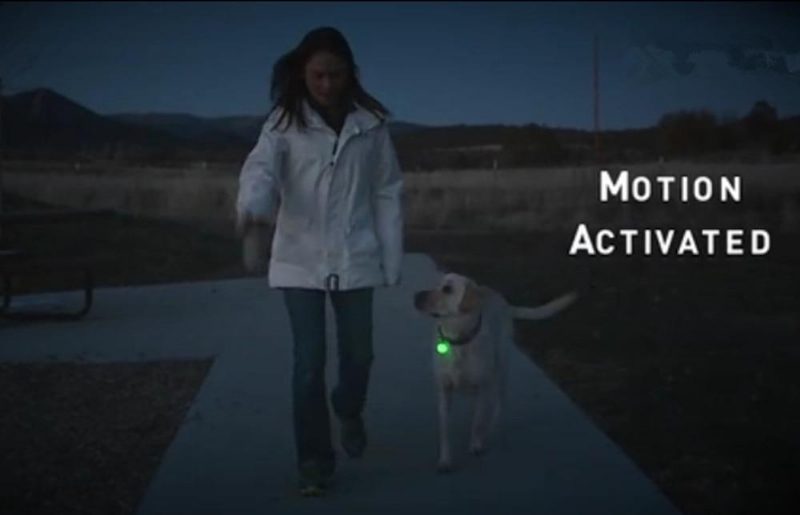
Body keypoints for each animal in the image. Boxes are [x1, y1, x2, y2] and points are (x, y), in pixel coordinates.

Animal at [412, 272, 576, 474]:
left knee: (497, 406)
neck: (458, 342)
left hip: (501, 371)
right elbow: (444, 431)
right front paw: (445, 460)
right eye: (436, 285)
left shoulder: (483, 386)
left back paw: (490, 429)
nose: (416, 296)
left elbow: (478, 422)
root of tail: (503, 300)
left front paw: (476, 443)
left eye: (447, 289)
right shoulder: (444, 391)